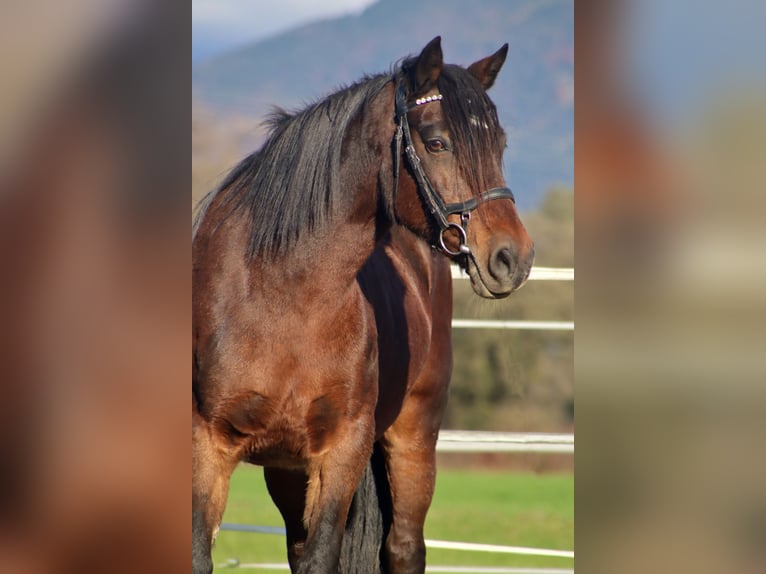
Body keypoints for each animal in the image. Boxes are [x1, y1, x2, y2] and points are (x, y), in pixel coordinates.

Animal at [192, 36, 534, 574]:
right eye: (437, 143)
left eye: (499, 145)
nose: (512, 257)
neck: (280, 298)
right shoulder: (207, 446)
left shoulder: (342, 451)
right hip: (287, 469)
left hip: (414, 438)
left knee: (403, 547)